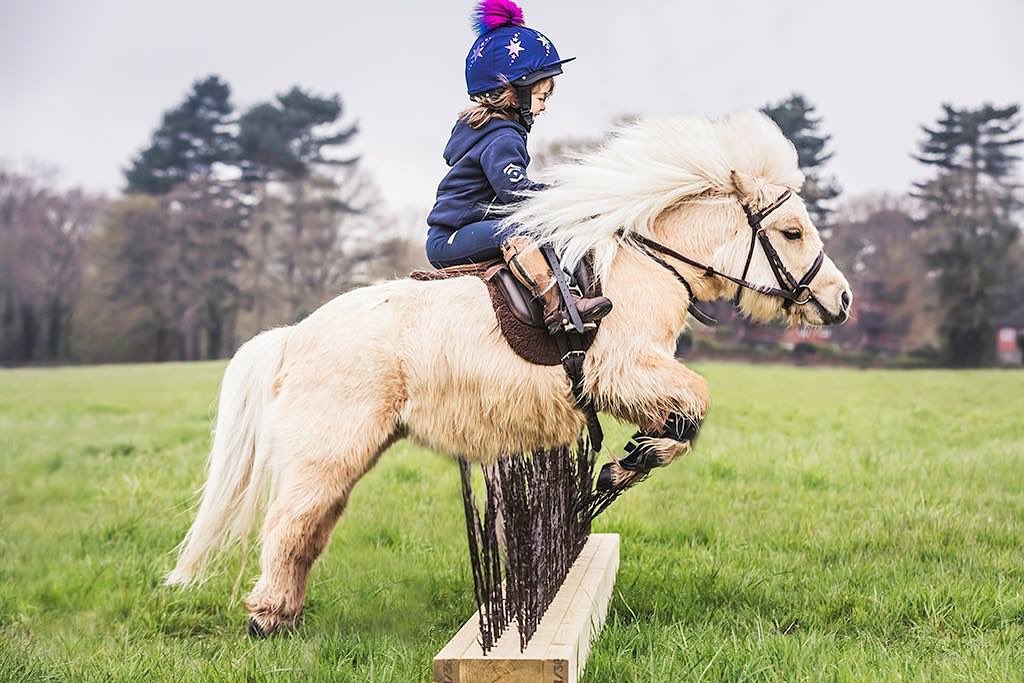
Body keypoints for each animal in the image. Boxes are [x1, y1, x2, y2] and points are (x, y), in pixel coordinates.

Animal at [167, 111, 851, 634]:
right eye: (792, 231)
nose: (841, 300)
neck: (646, 266)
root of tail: (294, 336)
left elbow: (682, 422)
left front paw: (622, 466)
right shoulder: (624, 371)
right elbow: (692, 408)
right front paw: (625, 466)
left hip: (344, 454)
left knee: (309, 530)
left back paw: (285, 615)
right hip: (328, 450)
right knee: (289, 525)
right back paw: (265, 620)